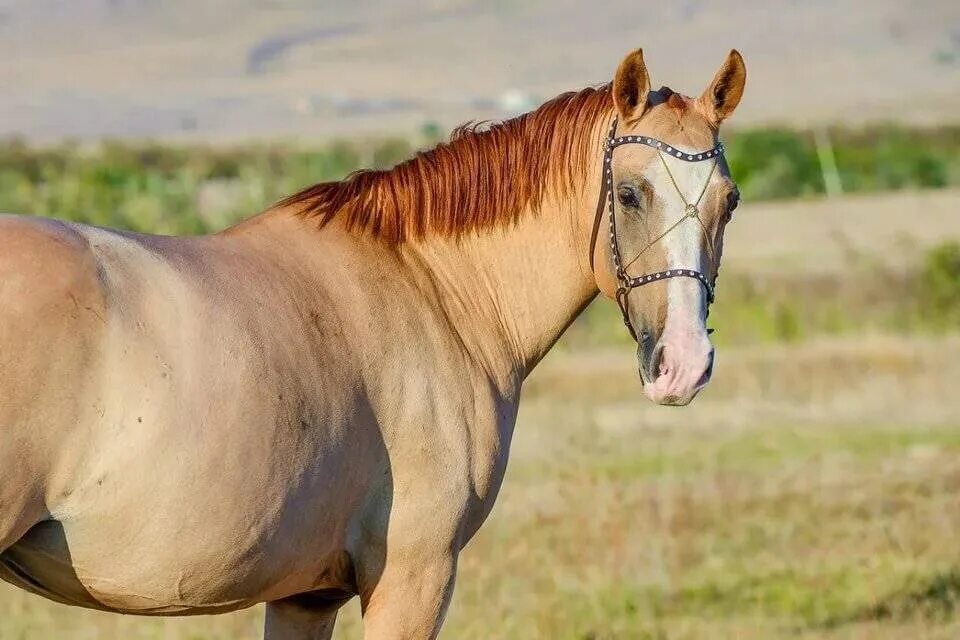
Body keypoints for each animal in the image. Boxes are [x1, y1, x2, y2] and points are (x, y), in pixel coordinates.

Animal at [0, 48, 748, 636]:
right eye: (629, 194)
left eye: (729, 201)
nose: (684, 364)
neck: (432, 288)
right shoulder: (413, 579)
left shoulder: (306, 597)